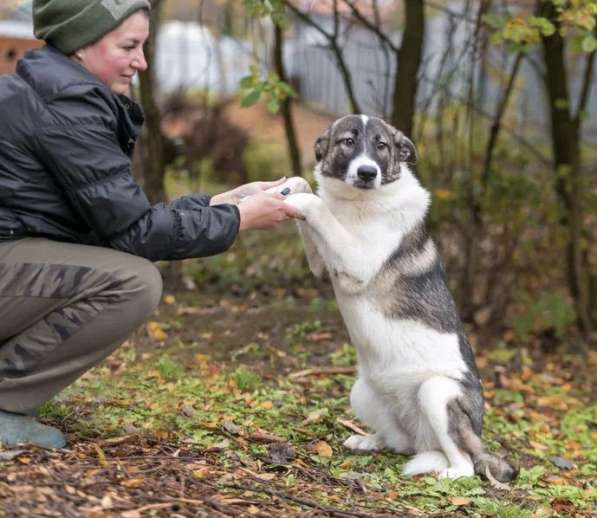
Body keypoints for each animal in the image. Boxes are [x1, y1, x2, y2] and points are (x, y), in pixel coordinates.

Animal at [280, 114, 516, 484]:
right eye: (348, 141)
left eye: (381, 146)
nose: (367, 173)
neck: (357, 203)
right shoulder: (324, 266)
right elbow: (314, 212)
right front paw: (295, 186)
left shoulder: (357, 262)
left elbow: (319, 209)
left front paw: (303, 201)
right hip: (361, 392)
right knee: (398, 441)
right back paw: (370, 440)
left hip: (436, 393)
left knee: (465, 462)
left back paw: (448, 472)